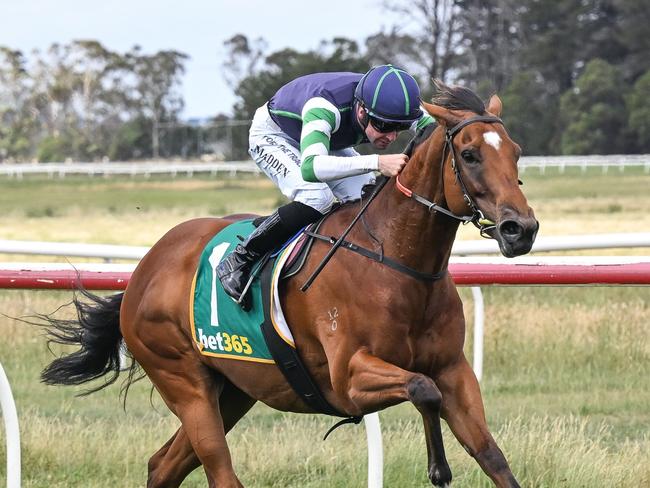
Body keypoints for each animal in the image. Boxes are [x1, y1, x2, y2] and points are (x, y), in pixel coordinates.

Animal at [41, 83, 536, 484]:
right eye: (469, 155)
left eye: (515, 151)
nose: (521, 229)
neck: (395, 261)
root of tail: (144, 269)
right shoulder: (349, 377)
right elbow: (421, 389)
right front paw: (438, 467)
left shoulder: (454, 370)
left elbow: (491, 455)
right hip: (184, 381)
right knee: (219, 470)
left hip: (235, 389)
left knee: (162, 465)